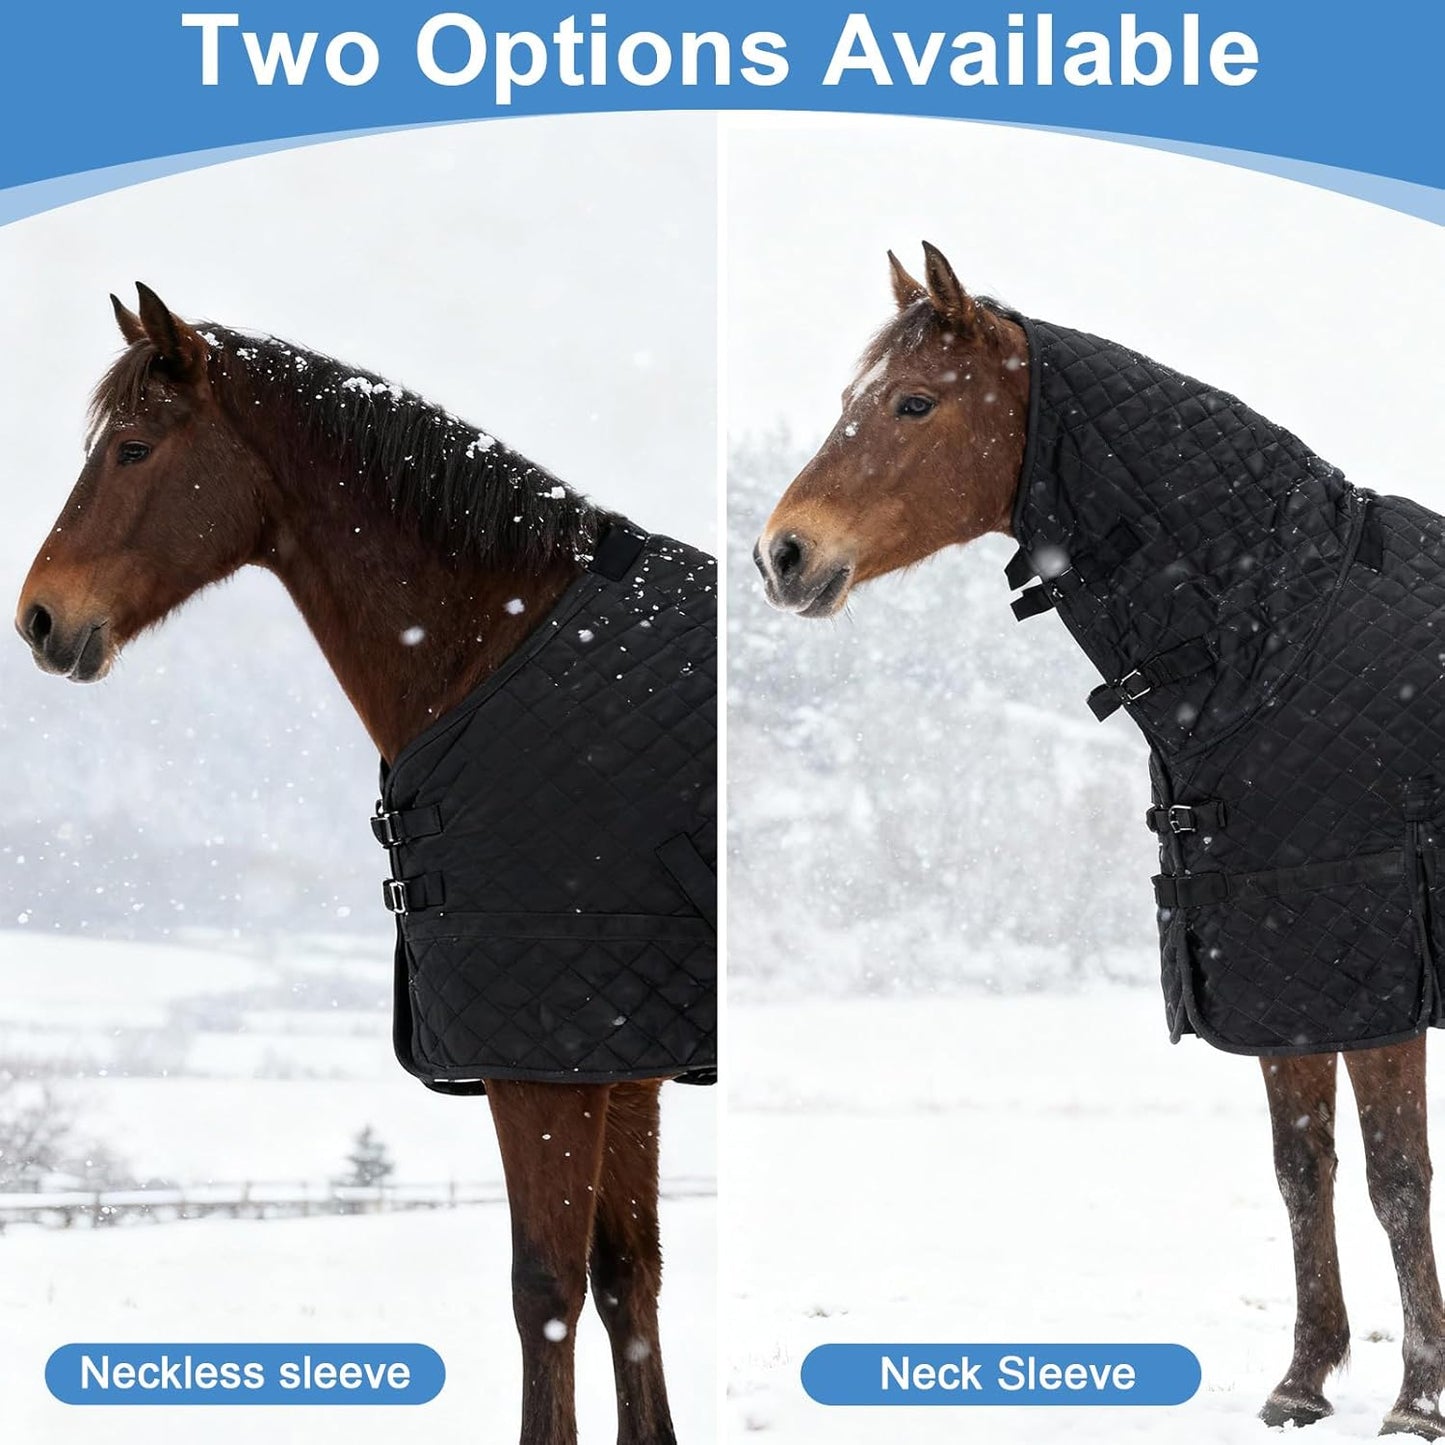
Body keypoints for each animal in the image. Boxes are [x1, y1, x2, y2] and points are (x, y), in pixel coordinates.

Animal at [15, 285, 701, 1445]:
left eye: (136, 448)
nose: (39, 618)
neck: (496, 646)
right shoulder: (623, 1059)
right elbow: (627, 1281)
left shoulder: (543, 1063)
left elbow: (546, 1289)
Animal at [753, 242, 1445, 1438]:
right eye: (852, 396)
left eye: (913, 401)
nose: (781, 554)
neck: (1280, 639)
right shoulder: (1271, 966)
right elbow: (1298, 1166)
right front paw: (1303, 1376)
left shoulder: (1365, 961)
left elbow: (1395, 1176)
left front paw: (1415, 1395)